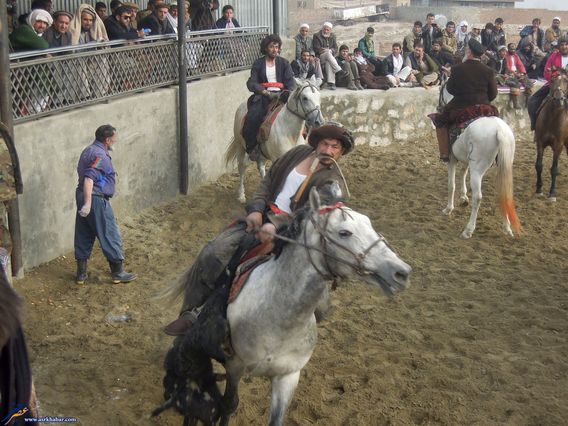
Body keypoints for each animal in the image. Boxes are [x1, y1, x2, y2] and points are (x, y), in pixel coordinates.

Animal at [440, 81, 520, 238]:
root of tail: (499, 129)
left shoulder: (452, 159)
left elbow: (451, 184)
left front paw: (448, 209)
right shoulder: (466, 160)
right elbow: (463, 174)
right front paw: (463, 197)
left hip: (477, 170)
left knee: (478, 197)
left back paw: (468, 230)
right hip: (502, 166)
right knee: (504, 194)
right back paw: (507, 228)